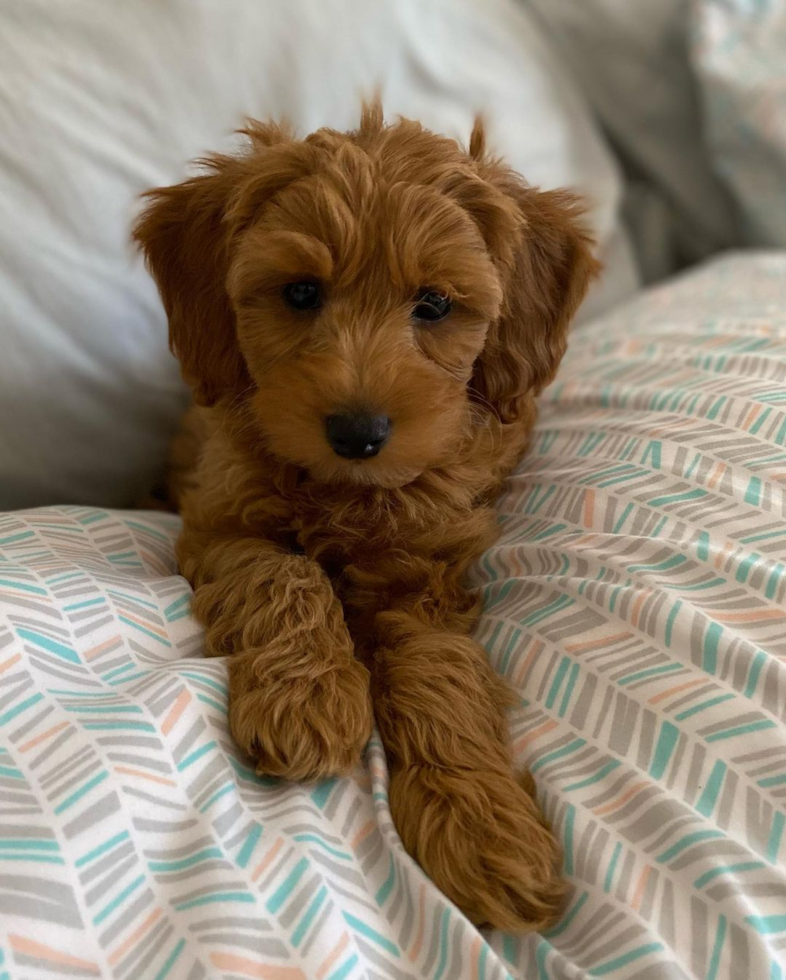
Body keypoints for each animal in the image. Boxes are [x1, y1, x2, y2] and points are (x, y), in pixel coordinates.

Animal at [135, 107, 596, 936]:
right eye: (301, 291)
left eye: (435, 305)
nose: (358, 432)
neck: (345, 492)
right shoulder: (221, 521)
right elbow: (283, 571)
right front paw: (307, 696)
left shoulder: (428, 571)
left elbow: (438, 670)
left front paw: (482, 823)